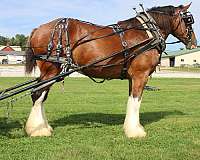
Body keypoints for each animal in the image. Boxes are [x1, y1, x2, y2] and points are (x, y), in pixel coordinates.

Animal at [24, 4, 197, 139]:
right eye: (188, 20)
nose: (194, 43)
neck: (147, 32)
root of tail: (38, 29)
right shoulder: (140, 76)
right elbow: (136, 101)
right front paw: (135, 131)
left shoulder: (132, 77)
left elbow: (131, 100)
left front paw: (130, 127)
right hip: (51, 70)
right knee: (37, 94)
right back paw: (38, 130)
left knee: (41, 95)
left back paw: (43, 126)